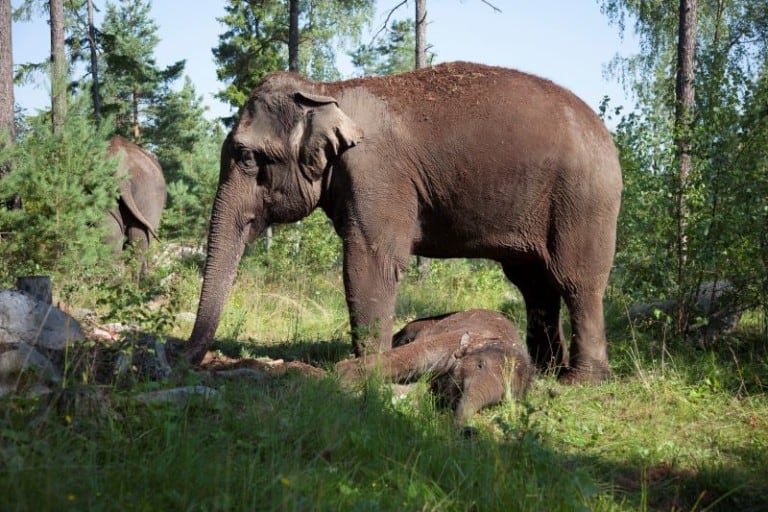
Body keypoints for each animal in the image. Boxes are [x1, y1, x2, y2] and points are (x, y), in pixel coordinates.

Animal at [188, 61, 624, 384]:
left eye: (247, 156)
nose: (185, 358)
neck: (326, 89)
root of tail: (604, 133)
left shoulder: (376, 173)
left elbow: (370, 262)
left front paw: (369, 369)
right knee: (535, 285)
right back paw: (547, 371)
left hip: (584, 200)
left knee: (576, 281)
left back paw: (582, 381)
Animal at [336, 310, 536, 426]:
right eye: (480, 365)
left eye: (503, 398)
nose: (470, 432)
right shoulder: (452, 339)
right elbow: (417, 356)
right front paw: (344, 383)